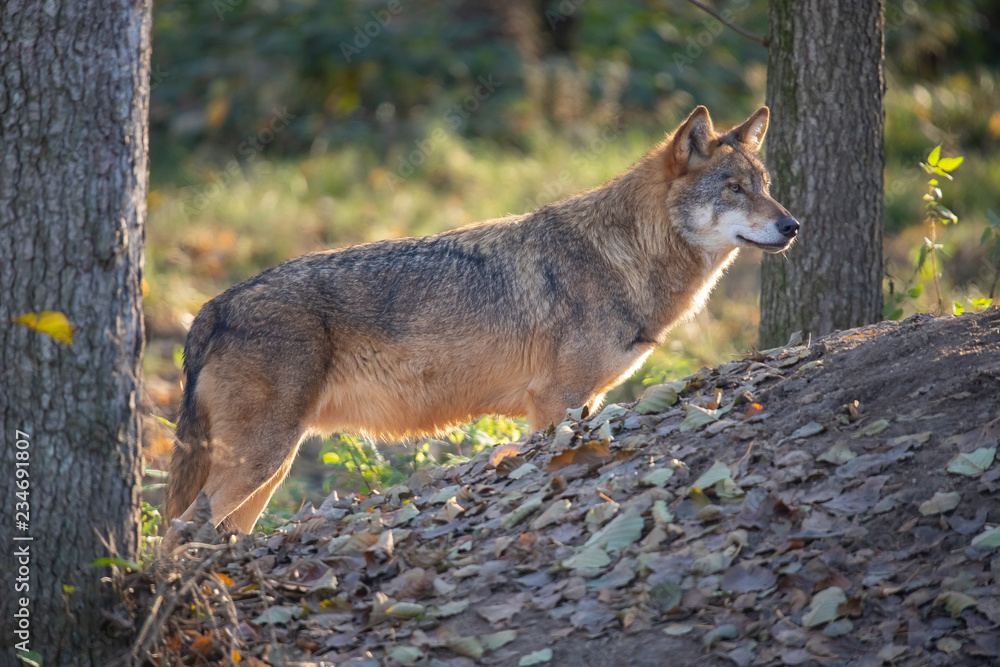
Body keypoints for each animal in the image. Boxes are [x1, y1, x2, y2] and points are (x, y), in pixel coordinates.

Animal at [162, 106, 798, 549]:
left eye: (765, 186)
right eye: (734, 190)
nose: (792, 225)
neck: (620, 256)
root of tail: (213, 306)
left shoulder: (586, 402)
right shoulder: (556, 403)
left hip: (271, 470)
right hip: (262, 461)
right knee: (175, 534)